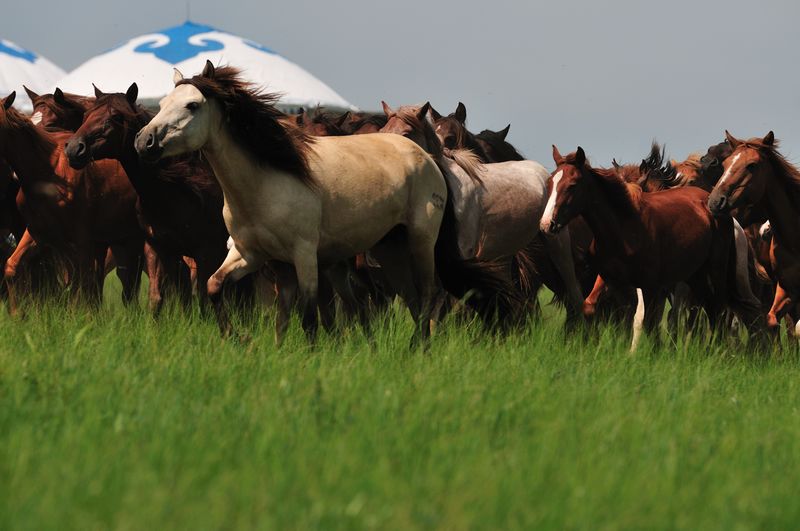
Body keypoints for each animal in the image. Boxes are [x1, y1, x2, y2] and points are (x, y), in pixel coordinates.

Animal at [378, 102, 584, 322]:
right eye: (383, 131)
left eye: (406, 134)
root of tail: (544, 172)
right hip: (505, 252)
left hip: (556, 243)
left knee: (573, 291)